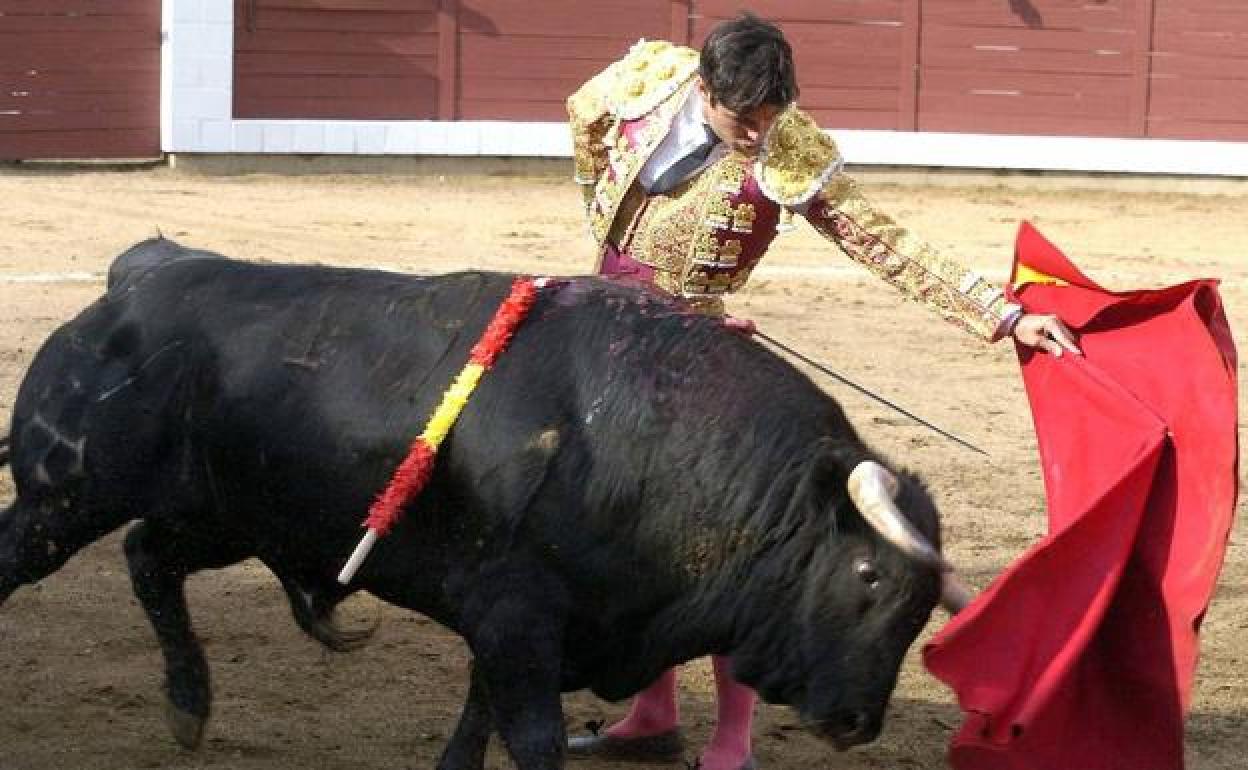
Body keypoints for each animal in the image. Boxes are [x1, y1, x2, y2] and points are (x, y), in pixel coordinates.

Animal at [0, 237, 953, 763]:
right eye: (868, 577)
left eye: (922, 611)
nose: (858, 720)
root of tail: (138, 279)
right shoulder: (514, 620)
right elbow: (527, 739)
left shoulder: (524, 630)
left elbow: (473, 727)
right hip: (64, 497)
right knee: (29, 558)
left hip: (229, 515)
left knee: (147, 559)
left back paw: (190, 708)